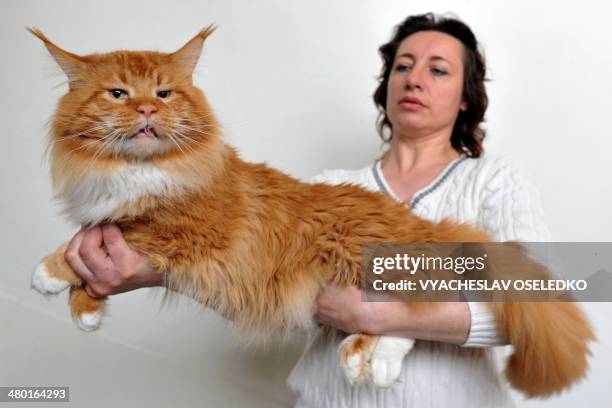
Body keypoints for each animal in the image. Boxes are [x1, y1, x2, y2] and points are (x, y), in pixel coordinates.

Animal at [28, 27, 592, 396]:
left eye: (164, 93)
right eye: (118, 93)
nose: (146, 109)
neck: (142, 169)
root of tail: (419, 222)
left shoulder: (188, 229)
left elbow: (109, 231)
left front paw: (51, 277)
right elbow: (93, 234)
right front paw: (86, 307)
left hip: (359, 256)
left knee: (423, 306)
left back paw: (373, 362)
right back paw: (365, 358)